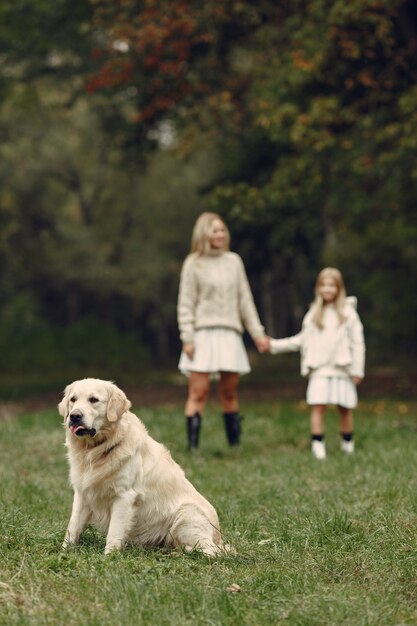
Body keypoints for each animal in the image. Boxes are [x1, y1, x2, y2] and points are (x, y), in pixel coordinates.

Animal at [58, 378, 224, 552]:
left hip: (186, 513)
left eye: (93, 400)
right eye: (73, 399)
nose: (74, 416)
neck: (96, 450)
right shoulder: (82, 494)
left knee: (210, 551)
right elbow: (73, 527)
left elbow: (114, 533)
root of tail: (218, 537)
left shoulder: (124, 496)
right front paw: (63, 552)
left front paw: (109, 556)